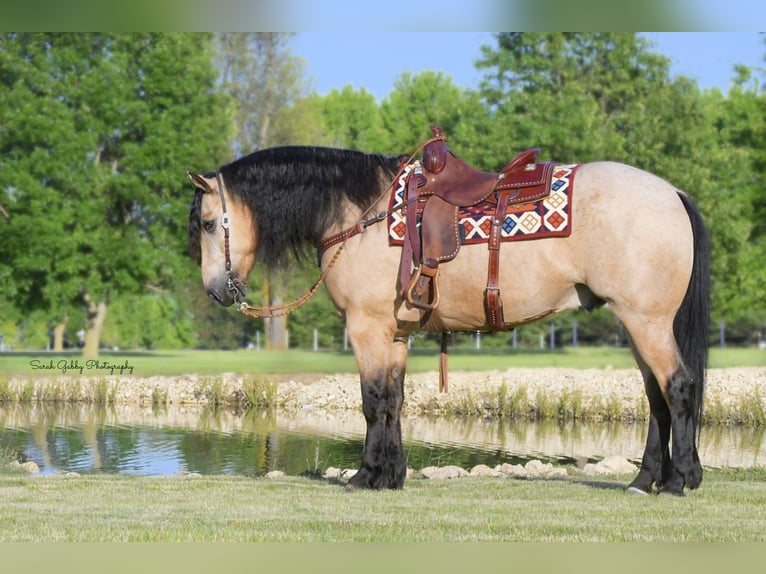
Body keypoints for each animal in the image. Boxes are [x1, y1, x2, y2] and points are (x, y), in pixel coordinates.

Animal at [188, 128, 712, 498]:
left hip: (646, 322)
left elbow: (372, 401)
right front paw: (392, 475)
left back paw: (679, 479)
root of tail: (672, 193)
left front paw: (365, 476)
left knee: (678, 387)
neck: (361, 216)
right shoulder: (396, 334)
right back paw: (644, 480)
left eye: (210, 223)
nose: (215, 291)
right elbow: (395, 400)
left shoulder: (366, 328)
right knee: (656, 397)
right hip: (637, 323)